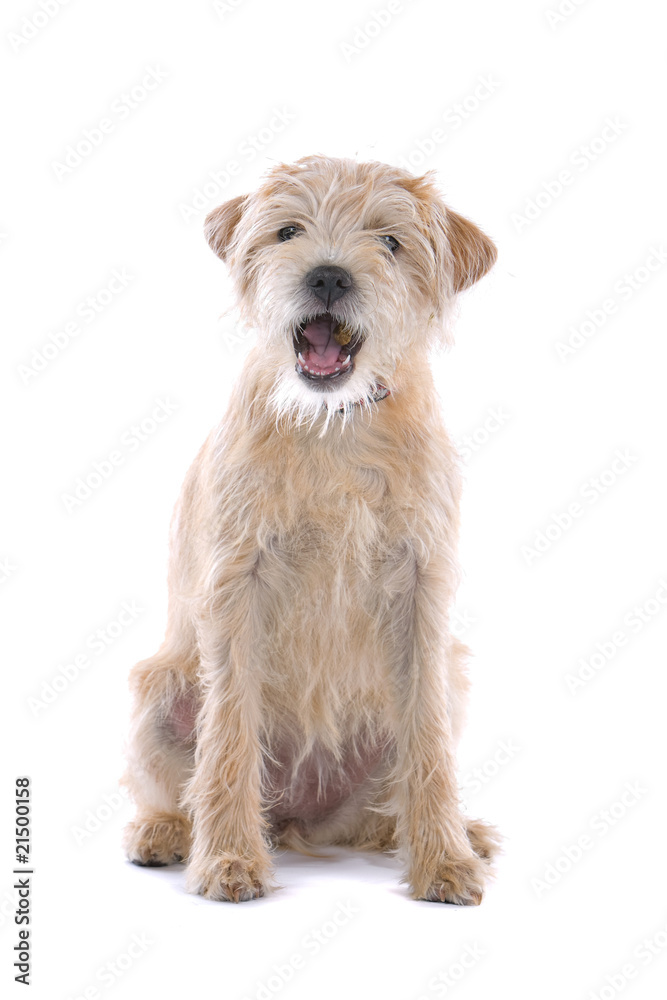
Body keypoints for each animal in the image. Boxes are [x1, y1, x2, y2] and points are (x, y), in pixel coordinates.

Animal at [122, 152, 500, 904]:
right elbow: (228, 734)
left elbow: (428, 745)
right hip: (161, 686)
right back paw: (166, 832)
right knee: (174, 782)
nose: (328, 274)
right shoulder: (237, 586)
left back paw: (453, 833)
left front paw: (443, 859)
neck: (334, 424)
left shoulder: (422, 594)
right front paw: (228, 859)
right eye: (288, 231)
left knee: (387, 805)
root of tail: (304, 815)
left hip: (447, 678)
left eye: (389, 241)